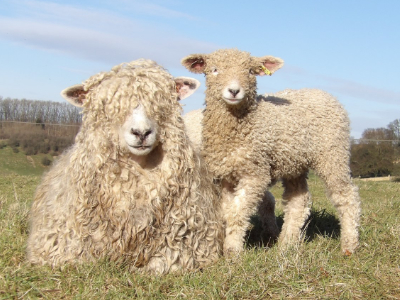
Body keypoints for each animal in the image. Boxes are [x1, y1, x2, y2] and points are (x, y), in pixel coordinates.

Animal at [183, 49, 360, 255]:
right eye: (214, 70)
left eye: (250, 71)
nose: (234, 91)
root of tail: (325, 94)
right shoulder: (227, 176)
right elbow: (228, 212)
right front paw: (230, 244)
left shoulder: (255, 173)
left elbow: (238, 212)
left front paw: (233, 250)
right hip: (295, 162)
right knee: (298, 200)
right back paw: (287, 243)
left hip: (332, 152)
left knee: (346, 195)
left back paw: (349, 244)